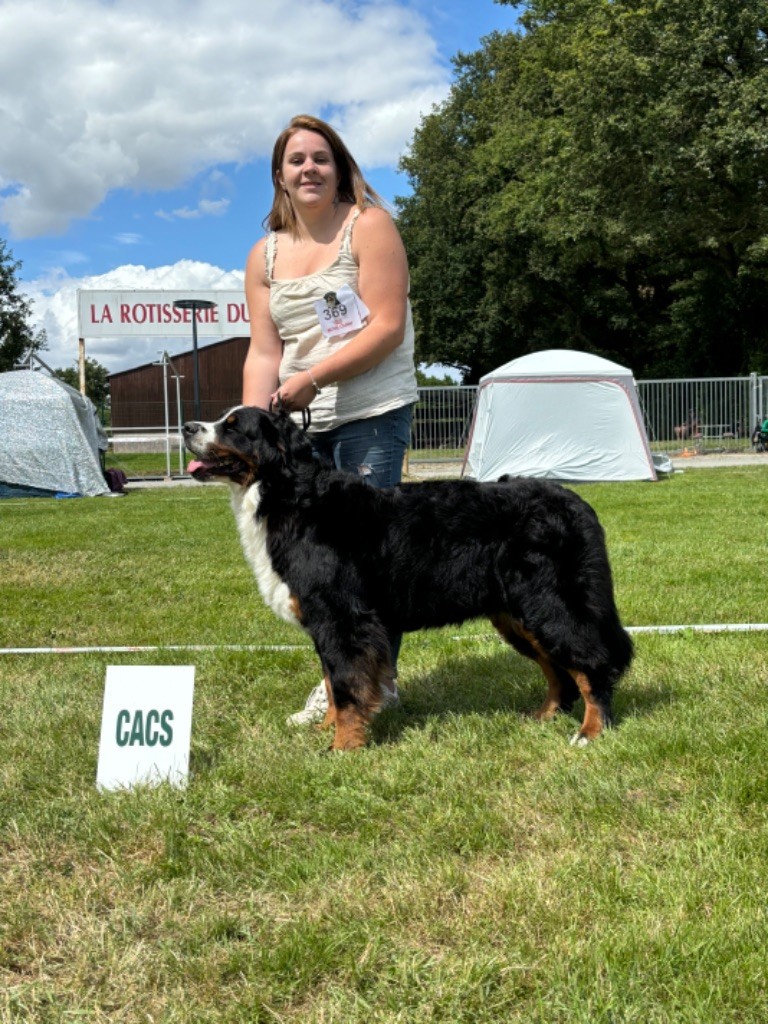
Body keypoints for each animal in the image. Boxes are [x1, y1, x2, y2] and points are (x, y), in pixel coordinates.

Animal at [183, 406, 634, 751]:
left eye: (233, 426)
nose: (187, 427)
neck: (290, 495)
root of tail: (575, 501)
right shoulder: (327, 623)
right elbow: (332, 682)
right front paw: (327, 728)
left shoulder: (343, 618)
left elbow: (345, 685)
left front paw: (342, 746)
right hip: (517, 615)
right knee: (558, 670)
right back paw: (543, 715)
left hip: (550, 603)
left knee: (591, 664)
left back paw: (591, 731)